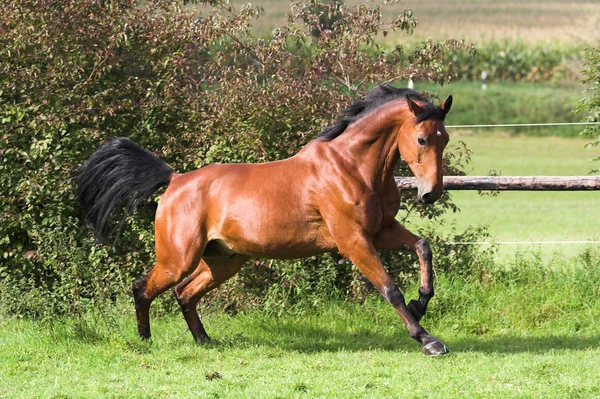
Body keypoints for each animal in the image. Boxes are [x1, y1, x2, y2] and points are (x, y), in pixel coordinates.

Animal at [78, 85, 454, 356]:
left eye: (445, 138)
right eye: (421, 139)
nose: (431, 193)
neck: (352, 166)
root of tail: (174, 180)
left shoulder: (381, 230)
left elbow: (423, 247)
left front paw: (420, 304)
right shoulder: (353, 241)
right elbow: (390, 288)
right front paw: (427, 339)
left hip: (224, 261)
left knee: (185, 294)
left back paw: (205, 341)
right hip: (178, 259)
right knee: (143, 288)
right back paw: (145, 341)